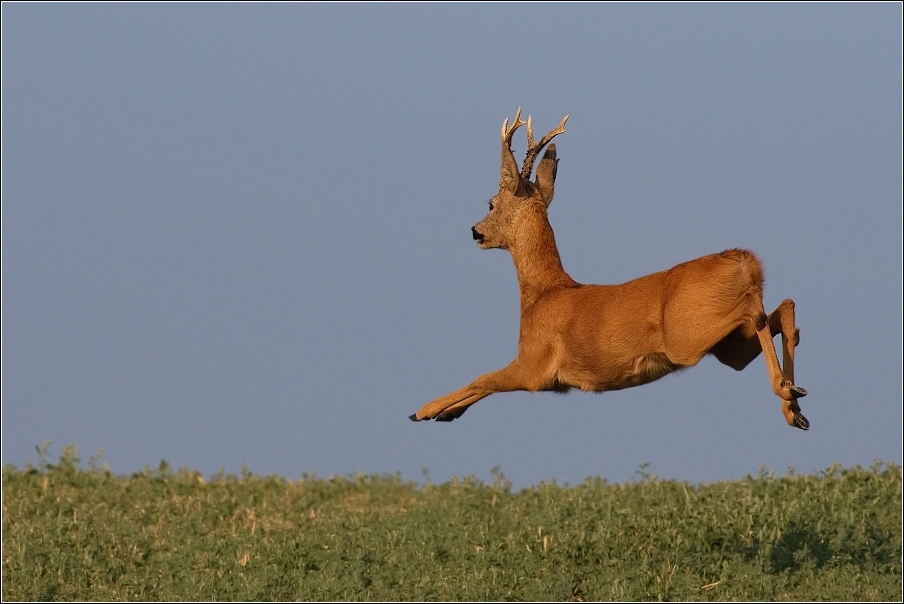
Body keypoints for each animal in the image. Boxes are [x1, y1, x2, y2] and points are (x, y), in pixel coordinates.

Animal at [410, 109, 812, 430]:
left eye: (491, 203)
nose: (475, 231)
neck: (544, 293)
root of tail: (743, 259)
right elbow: (484, 382)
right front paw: (445, 413)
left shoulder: (534, 364)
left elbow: (484, 378)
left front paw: (424, 411)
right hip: (728, 346)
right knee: (782, 308)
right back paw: (794, 407)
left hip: (688, 337)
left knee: (757, 312)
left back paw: (786, 391)